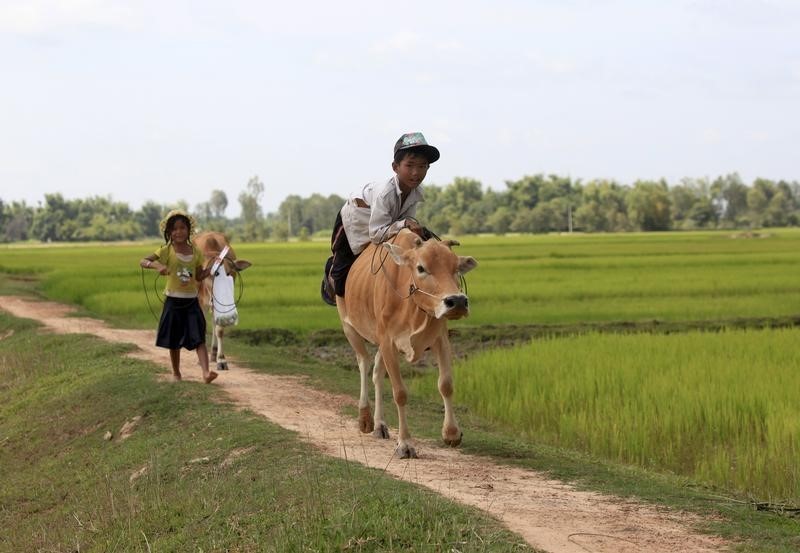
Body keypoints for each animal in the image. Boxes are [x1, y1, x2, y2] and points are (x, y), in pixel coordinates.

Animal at [194, 231, 250, 368]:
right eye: (213, 274)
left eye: (229, 273)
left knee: (214, 324)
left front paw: (221, 359)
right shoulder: (200, 302)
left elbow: (219, 329)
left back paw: (214, 353)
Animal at [336, 229, 478, 458]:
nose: (457, 301)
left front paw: (452, 433)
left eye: (456, 267)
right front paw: (405, 444)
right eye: (421, 268)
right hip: (349, 327)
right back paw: (365, 417)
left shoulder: (440, 339)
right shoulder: (388, 343)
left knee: (377, 373)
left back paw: (380, 425)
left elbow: (446, 385)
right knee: (364, 364)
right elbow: (400, 393)